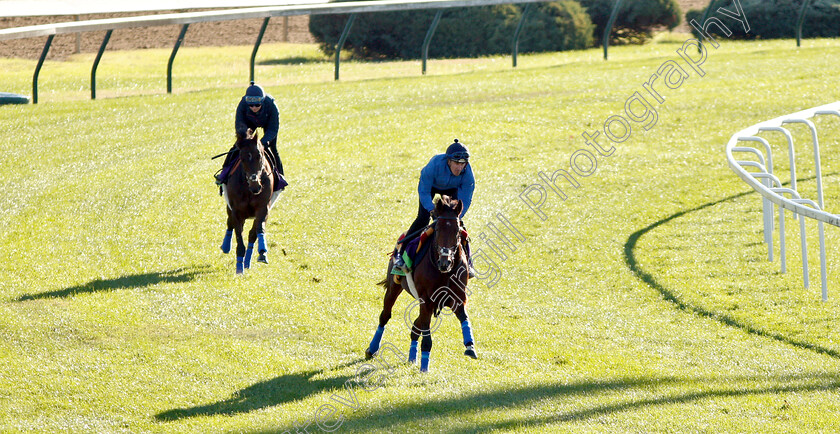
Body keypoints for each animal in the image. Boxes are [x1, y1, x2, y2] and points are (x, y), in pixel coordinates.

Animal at [220, 127, 278, 272]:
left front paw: (262, 252)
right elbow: (238, 236)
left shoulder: (263, 208)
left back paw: (247, 261)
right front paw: (239, 268)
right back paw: (226, 247)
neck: (249, 189)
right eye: (242, 157)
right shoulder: (236, 211)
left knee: (252, 233)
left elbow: (258, 230)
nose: (256, 186)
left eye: (260, 156)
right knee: (229, 224)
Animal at [364, 195, 476, 372]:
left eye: (458, 232)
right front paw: (424, 365)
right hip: (394, 286)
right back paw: (372, 349)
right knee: (385, 315)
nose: (445, 262)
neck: (443, 272)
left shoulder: (456, 298)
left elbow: (464, 318)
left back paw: (412, 357)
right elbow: (426, 334)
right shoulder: (427, 300)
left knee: (416, 327)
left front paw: (470, 346)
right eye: (437, 230)